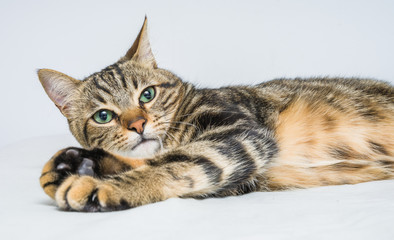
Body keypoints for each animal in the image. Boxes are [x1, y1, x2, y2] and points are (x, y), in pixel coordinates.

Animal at [37, 17, 394, 212]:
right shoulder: (242, 177)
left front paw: (102, 186)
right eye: (103, 116)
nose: (138, 124)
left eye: (147, 94)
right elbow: (172, 163)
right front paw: (78, 163)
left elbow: (178, 162)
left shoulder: (240, 132)